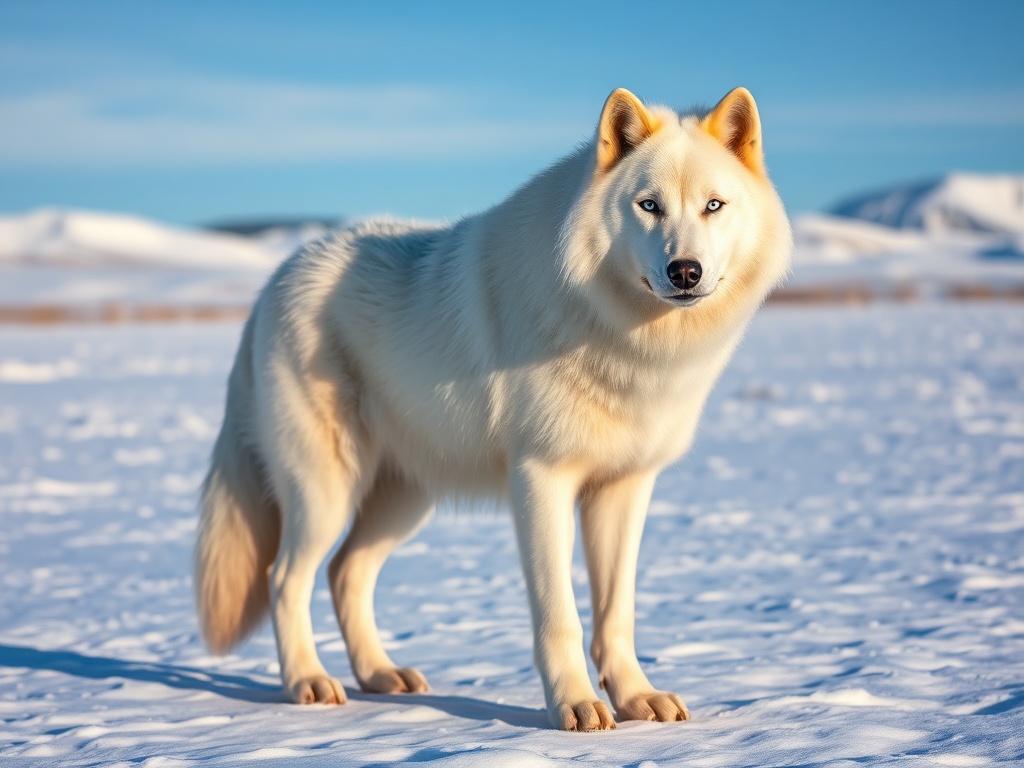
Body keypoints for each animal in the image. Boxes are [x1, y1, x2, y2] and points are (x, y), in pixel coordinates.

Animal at [194, 87, 791, 730]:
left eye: (713, 206)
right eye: (649, 206)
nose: (685, 271)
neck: (624, 338)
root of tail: (274, 281)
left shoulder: (625, 488)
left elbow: (617, 615)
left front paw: (636, 699)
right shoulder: (541, 481)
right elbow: (560, 616)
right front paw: (576, 707)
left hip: (405, 499)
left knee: (345, 572)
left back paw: (380, 675)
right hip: (325, 494)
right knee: (285, 578)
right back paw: (308, 681)